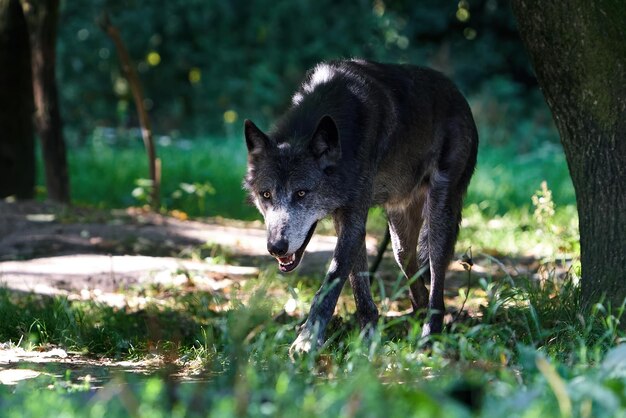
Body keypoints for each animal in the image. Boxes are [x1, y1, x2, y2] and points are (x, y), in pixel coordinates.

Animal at [241, 58, 476, 352]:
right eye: (266, 195)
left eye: (302, 193)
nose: (276, 247)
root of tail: (459, 95)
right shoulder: (346, 220)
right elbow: (358, 285)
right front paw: (368, 339)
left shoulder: (353, 219)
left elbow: (331, 281)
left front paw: (307, 340)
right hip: (399, 236)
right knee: (412, 271)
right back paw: (418, 321)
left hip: (438, 218)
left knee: (436, 277)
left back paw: (429, 335)